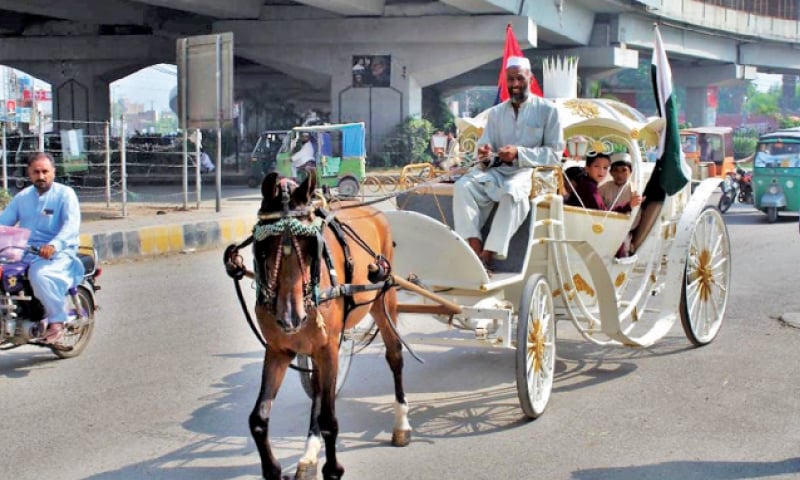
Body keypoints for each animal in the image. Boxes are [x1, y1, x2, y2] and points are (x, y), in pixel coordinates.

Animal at [247, 172, 410, 480]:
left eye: (313, 247)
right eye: (262, 248)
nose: (291, 319)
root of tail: (376, 212)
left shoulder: (328, 348)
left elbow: (329, 420)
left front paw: (333, 469)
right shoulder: (278, 350)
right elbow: (259, 419)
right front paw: (273, 469)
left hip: (383, 298)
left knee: (394, 354)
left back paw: (402, 424)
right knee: (317, 388)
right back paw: (309, 454)